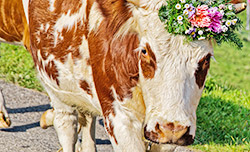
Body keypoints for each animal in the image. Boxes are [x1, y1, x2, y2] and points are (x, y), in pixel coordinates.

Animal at [0, 0, 246, 151]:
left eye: (206, 59)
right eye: (145, 51)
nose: (172, 128)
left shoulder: (167, 134)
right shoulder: (120, 118)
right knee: (66, 123)